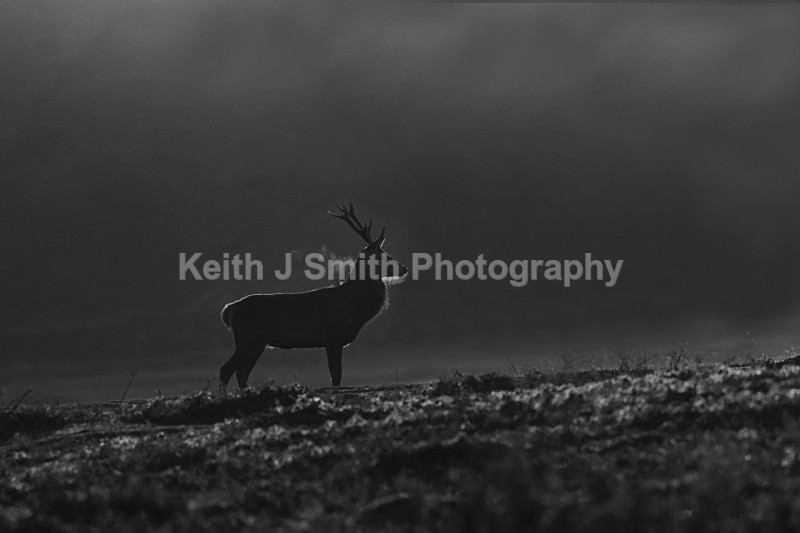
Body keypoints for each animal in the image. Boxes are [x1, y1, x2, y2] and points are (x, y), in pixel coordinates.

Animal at [218, 202, 408, 392]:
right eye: (385, 256)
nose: (404, 268)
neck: (354, 306)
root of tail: (228, 310)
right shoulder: (333, 337)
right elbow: (336, 375)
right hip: (247, 338)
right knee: (226, 369)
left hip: (256, 343)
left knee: (241, 373)